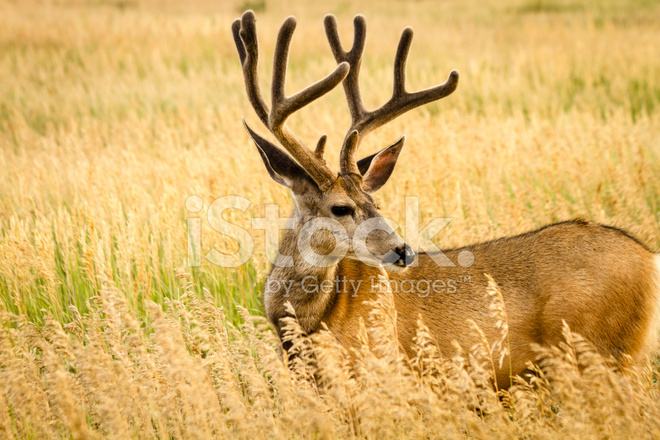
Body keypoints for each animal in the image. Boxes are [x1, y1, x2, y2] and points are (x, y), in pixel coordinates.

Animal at [229, 11, 656, 388]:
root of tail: (651, 262)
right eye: (341, 208)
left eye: (376, 204)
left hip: (604, 353)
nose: (402, 251)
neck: (304, 322)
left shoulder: (382, 371)